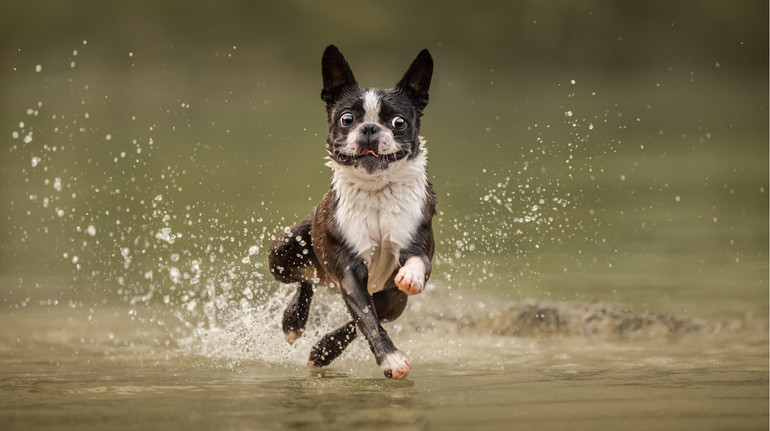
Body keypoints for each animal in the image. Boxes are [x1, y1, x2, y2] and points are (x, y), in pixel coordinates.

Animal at [266, 45, 432, 380]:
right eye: (347, 119)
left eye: (398, 122)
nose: (368, 128)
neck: (377, 191)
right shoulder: (348, 271)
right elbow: (366, 318)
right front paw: (391, 359)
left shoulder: (405, 272)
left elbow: (376, 307)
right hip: (283, 253)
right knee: (306, 279)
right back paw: (293, 321)